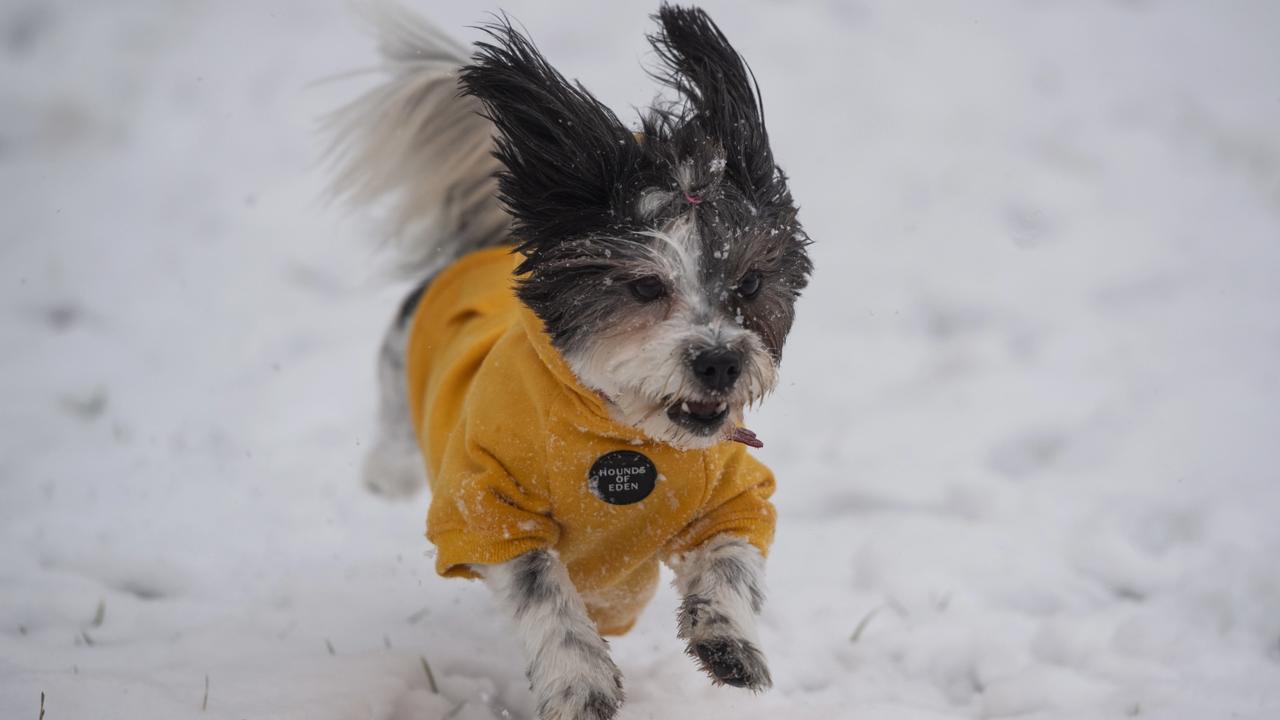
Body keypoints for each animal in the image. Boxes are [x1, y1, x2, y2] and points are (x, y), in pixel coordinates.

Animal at [327, 2, 808, 712]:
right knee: (392, 443)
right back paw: (386, 472)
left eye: (749, 284)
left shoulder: (733, 492)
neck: (624, 436)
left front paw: (729, 641)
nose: (720, 362)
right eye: (644, 286)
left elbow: (730, 560)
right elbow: (546, 596)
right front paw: (581, 683)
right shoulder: (488, 505)